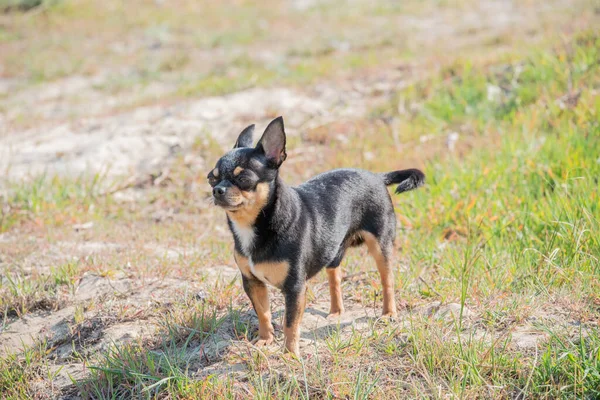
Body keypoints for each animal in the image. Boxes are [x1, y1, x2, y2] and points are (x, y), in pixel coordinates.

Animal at [209, 116, 424, 356]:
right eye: (211, 178)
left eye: (244, 179)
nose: (217, 190)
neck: (254, 225)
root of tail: (378, 177)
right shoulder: (252, 282)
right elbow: (263, 313)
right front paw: (266, 340)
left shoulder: (294, 288)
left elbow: (290, 323)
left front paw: (290, 354)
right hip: (333, 249)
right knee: (335, 276)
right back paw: (336, 310)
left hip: (380, 245)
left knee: (388, 279)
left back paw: (388, 313)